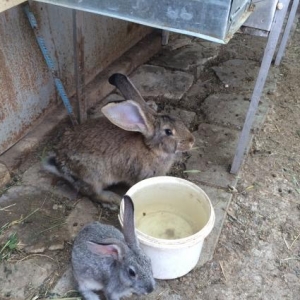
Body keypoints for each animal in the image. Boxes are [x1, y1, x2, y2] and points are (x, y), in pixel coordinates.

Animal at [44, 74, 195, 207]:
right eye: (168, 132)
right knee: (92, 194)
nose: (191, 141)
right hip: (93, 177)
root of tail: (60, 164)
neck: (151, 149)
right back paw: (112, 200)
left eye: (178, 120)